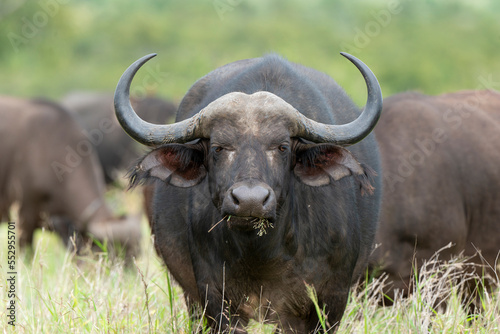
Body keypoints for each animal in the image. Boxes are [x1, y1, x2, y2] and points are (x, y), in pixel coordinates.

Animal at [114, 53, 382, 332]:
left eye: (282, 147)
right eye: (218, 148)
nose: (249, 201)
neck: (263, 254)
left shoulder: (333, 297)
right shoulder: (214, 297)